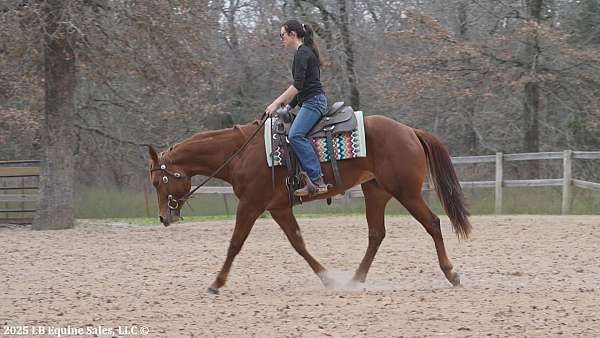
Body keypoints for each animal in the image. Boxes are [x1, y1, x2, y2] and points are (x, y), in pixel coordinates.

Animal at [148, 114, 472, 294]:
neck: (241, 154)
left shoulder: (251, 205)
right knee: (376, 234)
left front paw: (216, 283)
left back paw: (451, 273)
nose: (164, 217)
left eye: (158, 182)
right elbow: (298, 244)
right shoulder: (278, 208)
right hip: (376, 192)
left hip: (406, 192)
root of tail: (409, 130)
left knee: (432, 223)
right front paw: (328, 279)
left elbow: (235, 244)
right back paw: (354, 280)